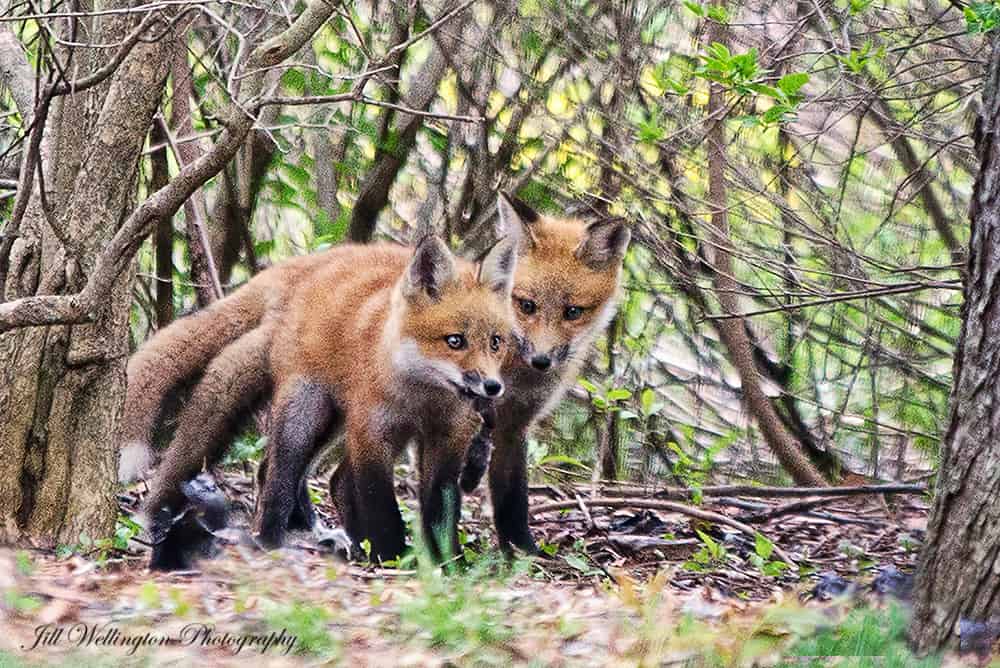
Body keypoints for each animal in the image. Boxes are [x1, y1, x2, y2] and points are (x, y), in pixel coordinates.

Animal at [135, 235, 516, 560]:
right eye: (455, 341)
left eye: (495, 342)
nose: (492, 387)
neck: (421, 398)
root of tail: (309, 267)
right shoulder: (370, 433)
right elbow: (381, 503)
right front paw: (393, 556)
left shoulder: (449, 438)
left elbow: (442, 508)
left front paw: (448, 562)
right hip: (306, 413)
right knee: (278, 476)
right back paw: (271, 541)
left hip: (333, 424)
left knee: (311, 477)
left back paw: (333, 537)